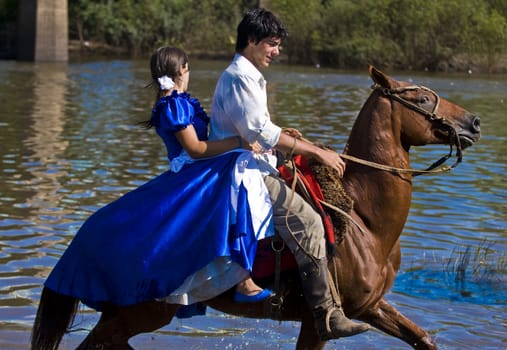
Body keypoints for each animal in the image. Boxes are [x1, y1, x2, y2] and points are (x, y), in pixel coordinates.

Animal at [29, 66, 482, 350]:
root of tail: (78, 246)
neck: (365, 220)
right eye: (422, 97)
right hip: (139, 313)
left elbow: (423, 339)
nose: (474, 122)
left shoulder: (369, 307)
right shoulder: (323, 323)